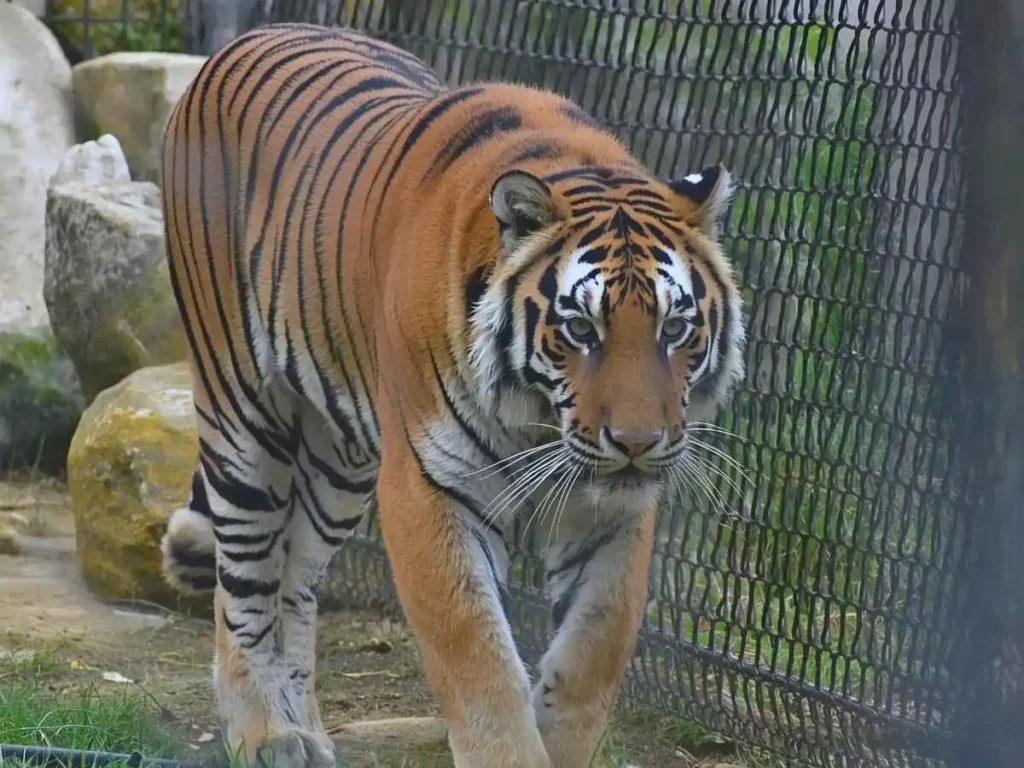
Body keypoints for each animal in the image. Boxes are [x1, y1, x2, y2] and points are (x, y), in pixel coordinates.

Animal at [158, 22, 745, 768]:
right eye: (581, 329)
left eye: (674, 329)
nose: (638, 443)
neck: (536, 421)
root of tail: (250, 37)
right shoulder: (426, 488)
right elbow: (479, 661)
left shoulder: (614, 511)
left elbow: (592, 651)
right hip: (243, 415)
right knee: (244, 584)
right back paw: (267, 734)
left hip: (337, 464)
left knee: (294, 580)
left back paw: (307, 727)